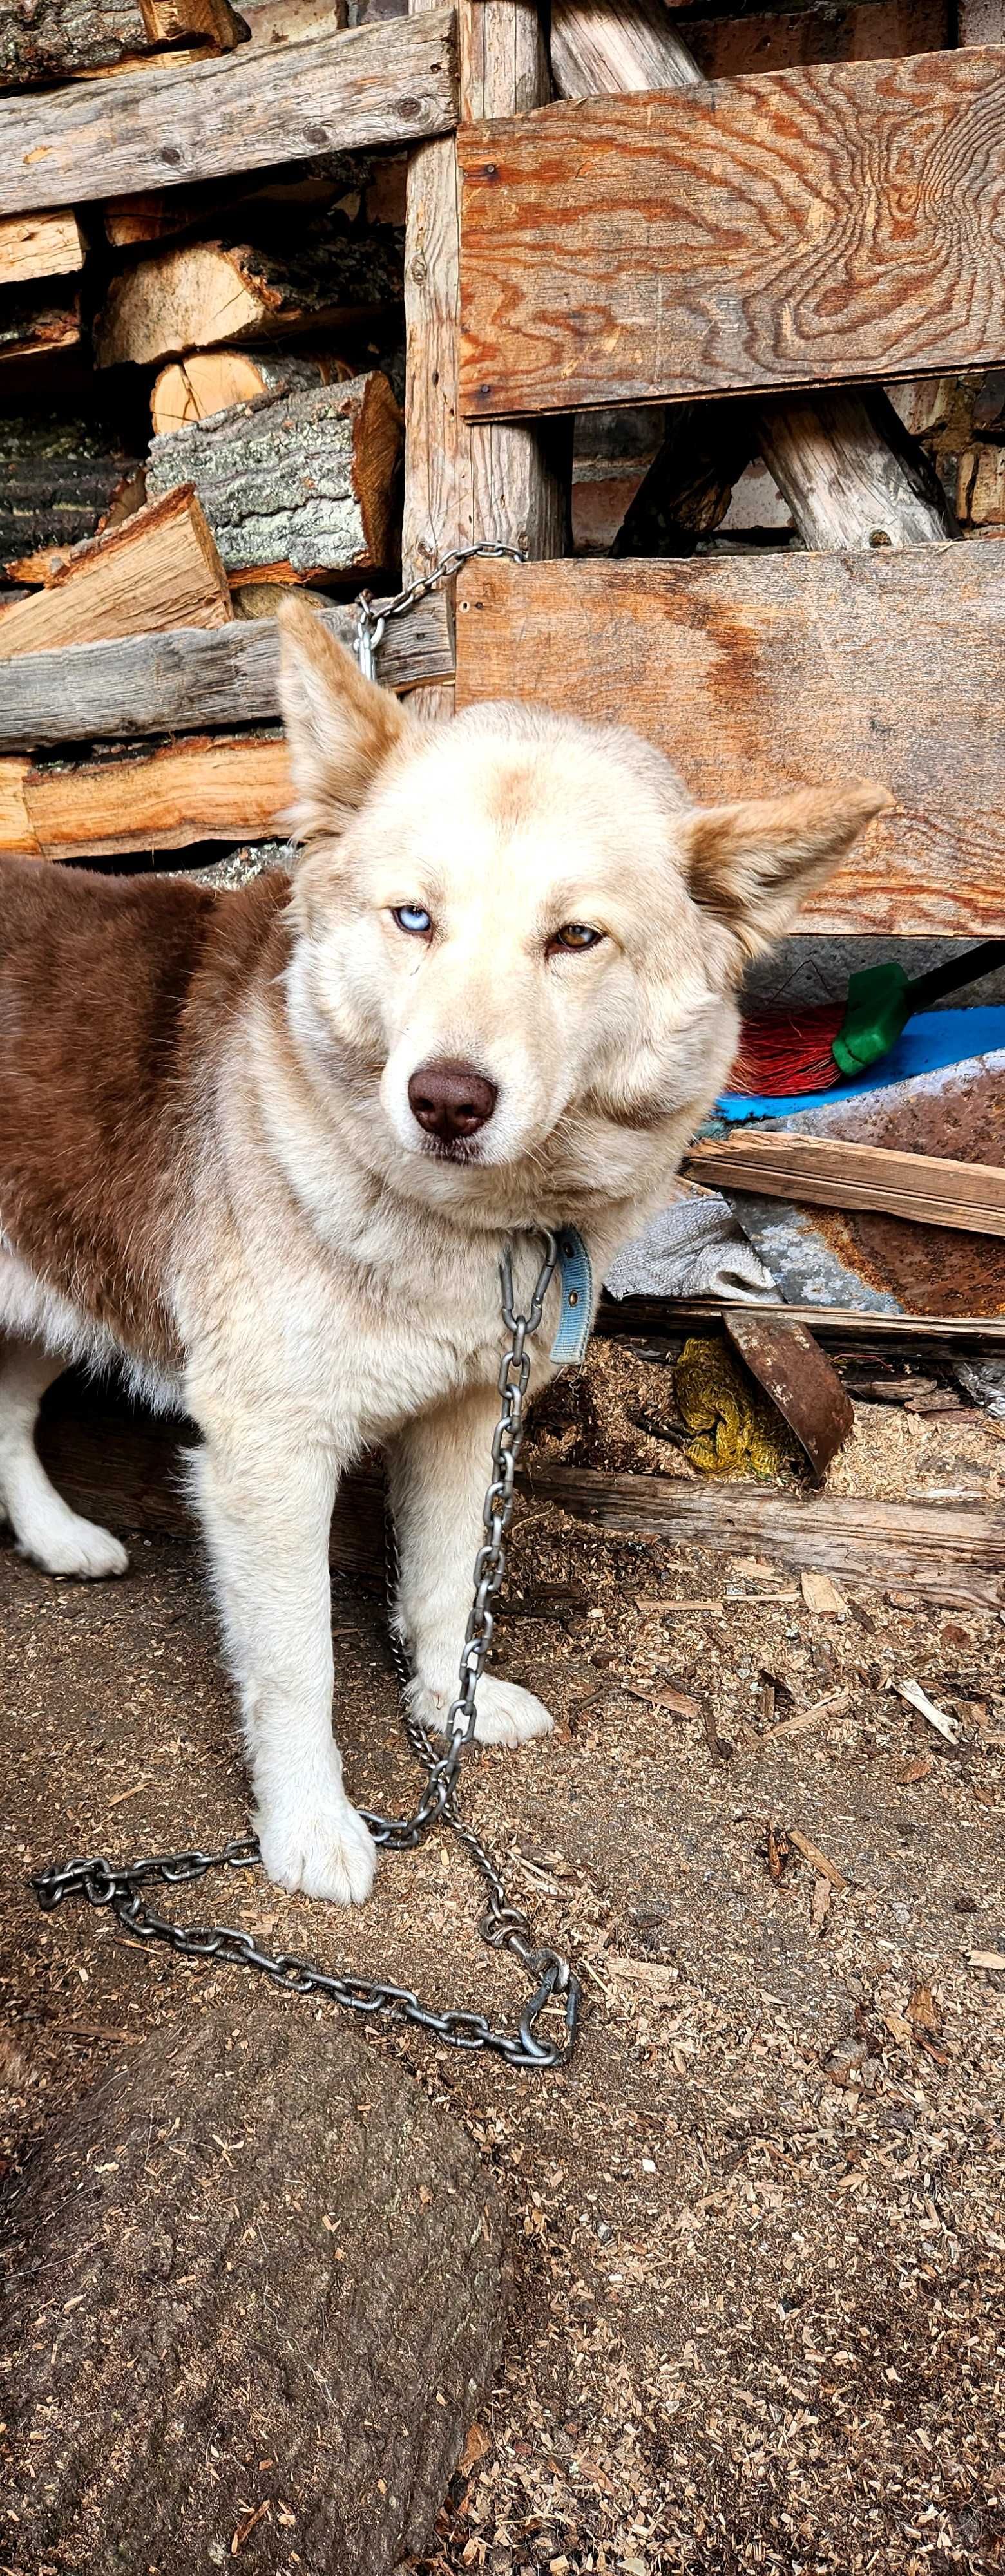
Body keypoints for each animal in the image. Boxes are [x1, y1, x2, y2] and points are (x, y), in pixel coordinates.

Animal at [0, 598, 886, 1896]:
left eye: (576, 938)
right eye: (414, 918)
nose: (448, 1102)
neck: (465, 1223)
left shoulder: (474, 1414)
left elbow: (445, 1579)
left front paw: (442, 1701)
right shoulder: (270, 1453)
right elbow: (300, 1667)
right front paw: (309, 1823)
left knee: (6, 1408)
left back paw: (57, 1538)